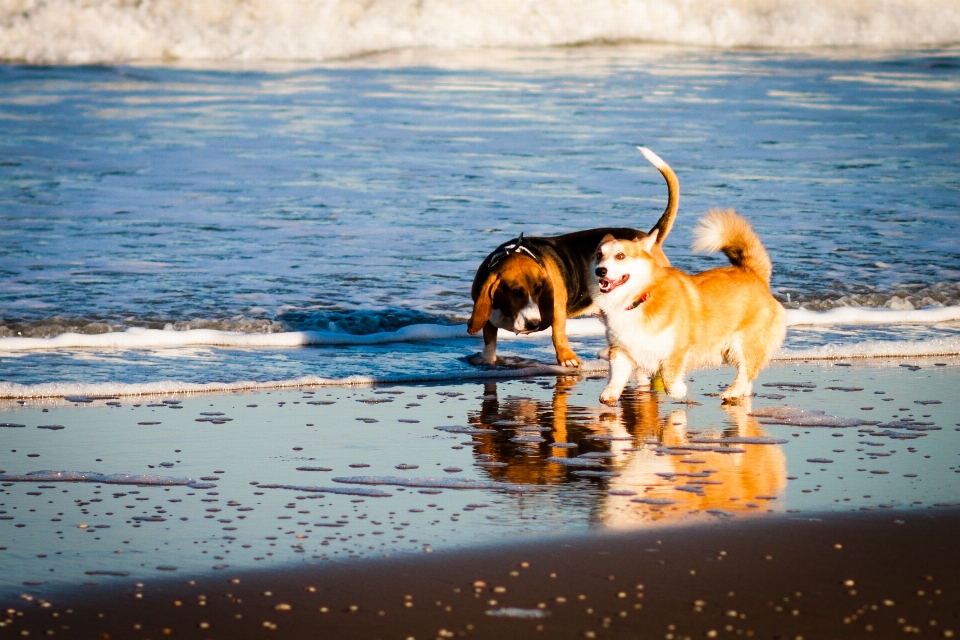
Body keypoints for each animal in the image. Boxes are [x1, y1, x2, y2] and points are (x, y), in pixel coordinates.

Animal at [468, 146, 680, 364]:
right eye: (515, 292)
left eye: (538, 289)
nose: (534, 324)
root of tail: (647, 239)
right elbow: (489, 339)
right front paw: (487, 360)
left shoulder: (557, 310)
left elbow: (558, 333)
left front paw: (567, 358)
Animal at [592, 212, 788, 408]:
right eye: (599, 255)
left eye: (620, 256)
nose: (599, 271)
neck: (638, 298)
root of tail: (753, 273)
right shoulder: (620, 349)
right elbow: (616, 376)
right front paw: (609, 395)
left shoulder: (676, 349)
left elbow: (668, 377)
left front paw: (679, 391)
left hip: (743, 342)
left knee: (747, 370)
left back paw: (732, 392)